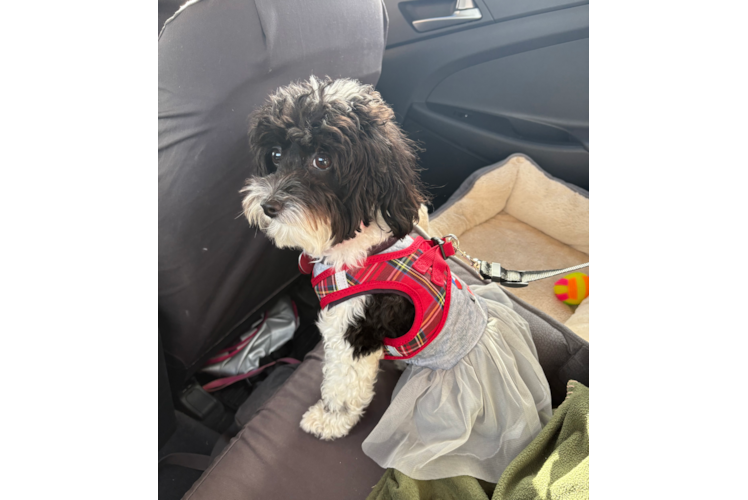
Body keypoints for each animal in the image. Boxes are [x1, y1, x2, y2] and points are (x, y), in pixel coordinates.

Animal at [243, 76, 430, 440]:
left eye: (322, 161)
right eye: (275, 155)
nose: (268, 205)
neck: (359, 247)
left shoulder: (354, 327)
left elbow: (344, 384)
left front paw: (329, 420)